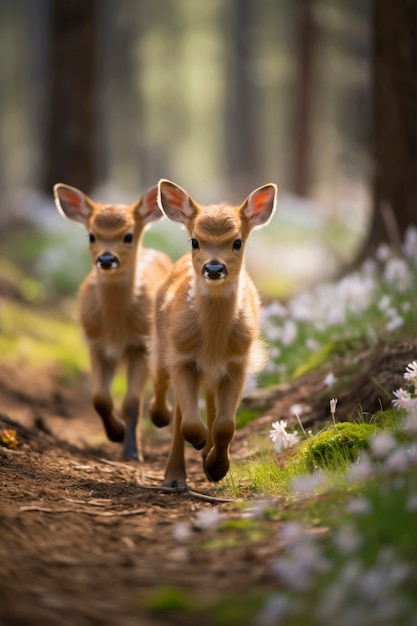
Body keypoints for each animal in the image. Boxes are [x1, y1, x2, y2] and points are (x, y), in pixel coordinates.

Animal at [54, 180, 172, 458]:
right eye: (91, 235)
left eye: (128, 235)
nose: (106, 259)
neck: (116, 329)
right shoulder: (95, 343)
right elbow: (100, 398)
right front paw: (115, 432)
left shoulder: (141, 345)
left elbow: (132, 401)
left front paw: (131, 451)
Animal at [150, 178, 276, 486]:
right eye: (195, 241)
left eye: (237, 242)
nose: (214, 267)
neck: (213, 342)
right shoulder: (182, 357)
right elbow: (189, 425)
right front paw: (200, 447)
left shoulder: (238, 362)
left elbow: (225, 426)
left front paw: (216, 467)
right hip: (164, 345)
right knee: (172, 405)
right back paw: (173, 474)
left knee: (208, 402)